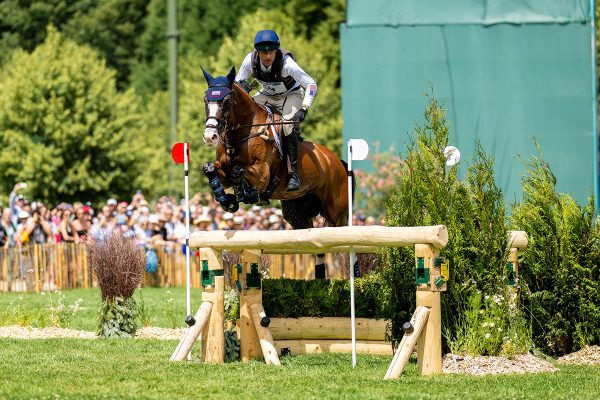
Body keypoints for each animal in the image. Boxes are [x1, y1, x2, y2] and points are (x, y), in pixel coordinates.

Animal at [202, 66, 352, 278]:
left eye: (227, 101)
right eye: (206, 100)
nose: (210, 136)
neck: (241, 134)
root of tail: (336, 161)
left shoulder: (262, 174)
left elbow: (238, 171)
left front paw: (243, 195)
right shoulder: (222, 169)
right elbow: (211, 169)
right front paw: (228, 201)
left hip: (336, 213)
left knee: (347, 246)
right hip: (297, 214)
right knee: (317, 248)